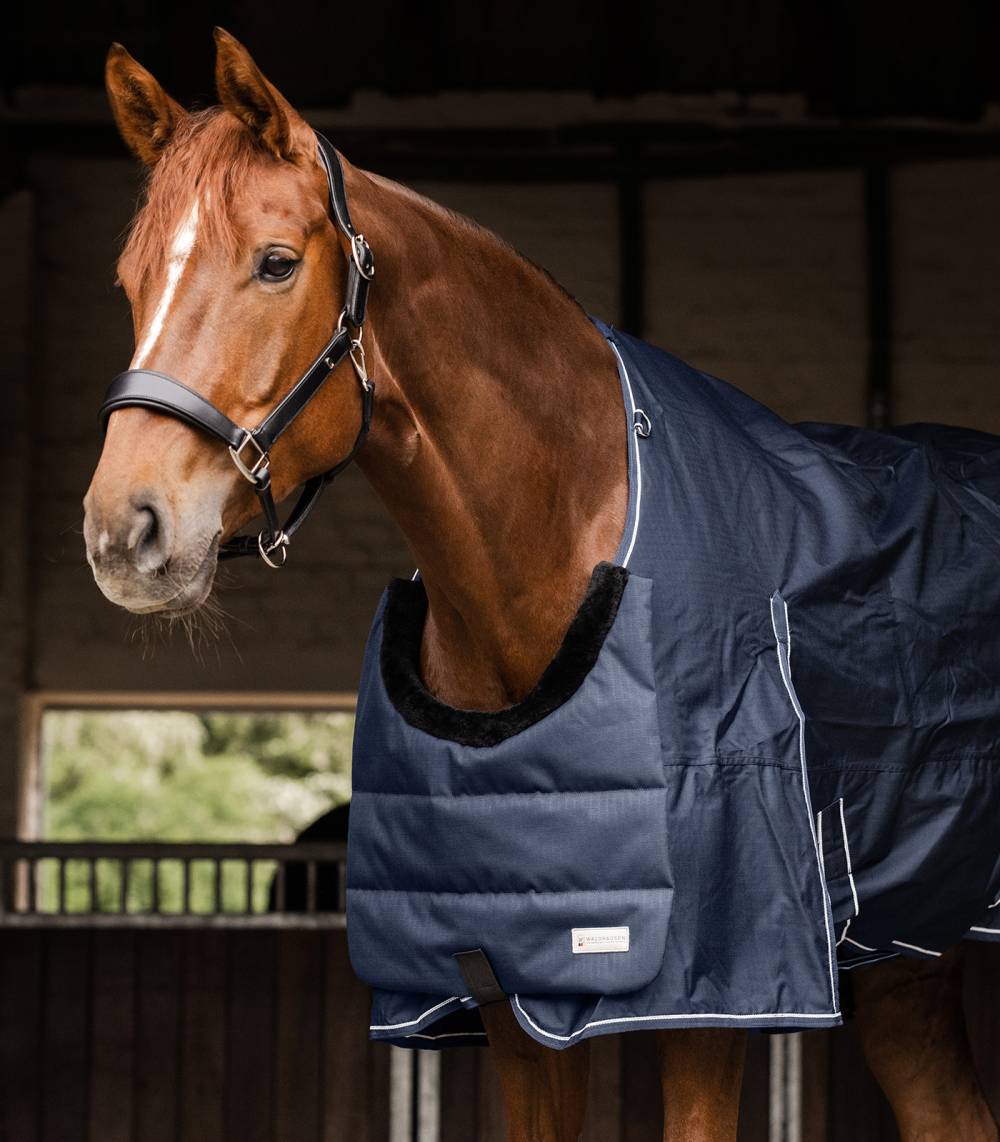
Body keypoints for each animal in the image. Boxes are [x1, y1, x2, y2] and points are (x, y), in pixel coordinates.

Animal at [83, 29, 999, 1142]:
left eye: (275, 263)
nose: (123, 531)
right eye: (130, 281)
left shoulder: (704, 1000)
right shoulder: (509, 990)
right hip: (914, 959)